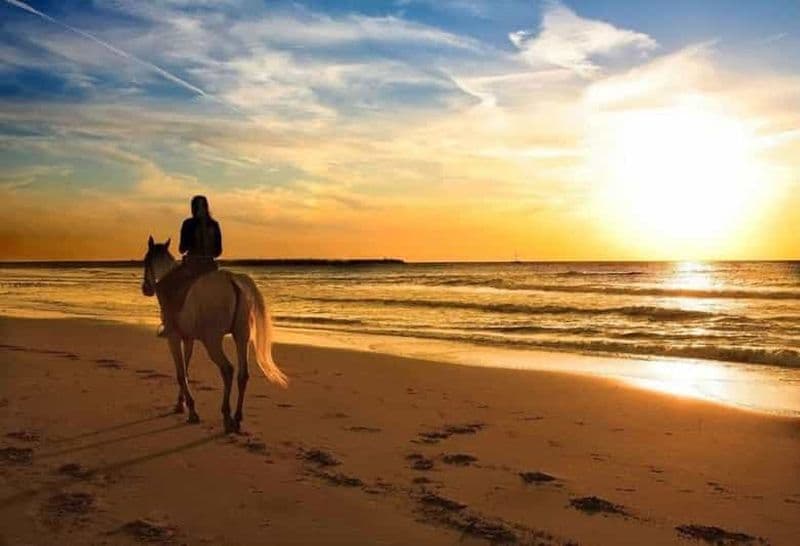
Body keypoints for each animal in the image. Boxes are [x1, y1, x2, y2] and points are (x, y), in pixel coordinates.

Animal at [141, 236, 287, 433]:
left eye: (145, 261)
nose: (146, 288)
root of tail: (233, 280)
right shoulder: (188, 339)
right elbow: (186, 370)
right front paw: (181, 404)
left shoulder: (174, 338)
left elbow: (180, 373)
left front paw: (191, 411)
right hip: (241, 336)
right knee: (243, 374)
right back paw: (237, 418)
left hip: (213, 341)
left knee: (227, 369)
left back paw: (227, 416)